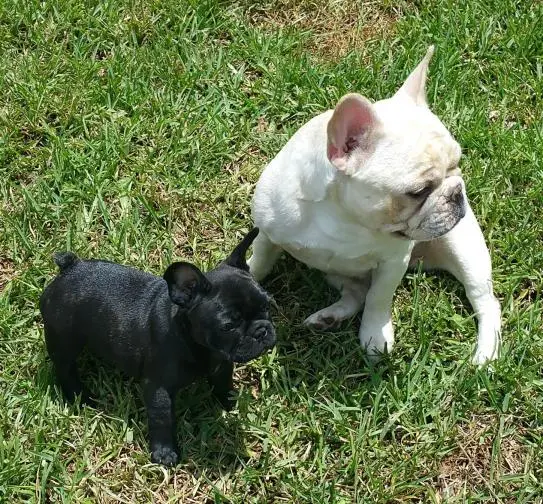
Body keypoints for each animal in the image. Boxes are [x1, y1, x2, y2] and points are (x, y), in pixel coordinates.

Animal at [39, 227, 276, 464]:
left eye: (267, 306)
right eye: (228, 326)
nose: (262, 331)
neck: (196, 342)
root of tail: (69, 268)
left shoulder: (222, 365)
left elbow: (223, 385)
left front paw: (230, 403)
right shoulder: (158, 387)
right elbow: (162, 418)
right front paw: (164, 452)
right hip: (63, 339)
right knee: (65, 368)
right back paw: (79, 396)